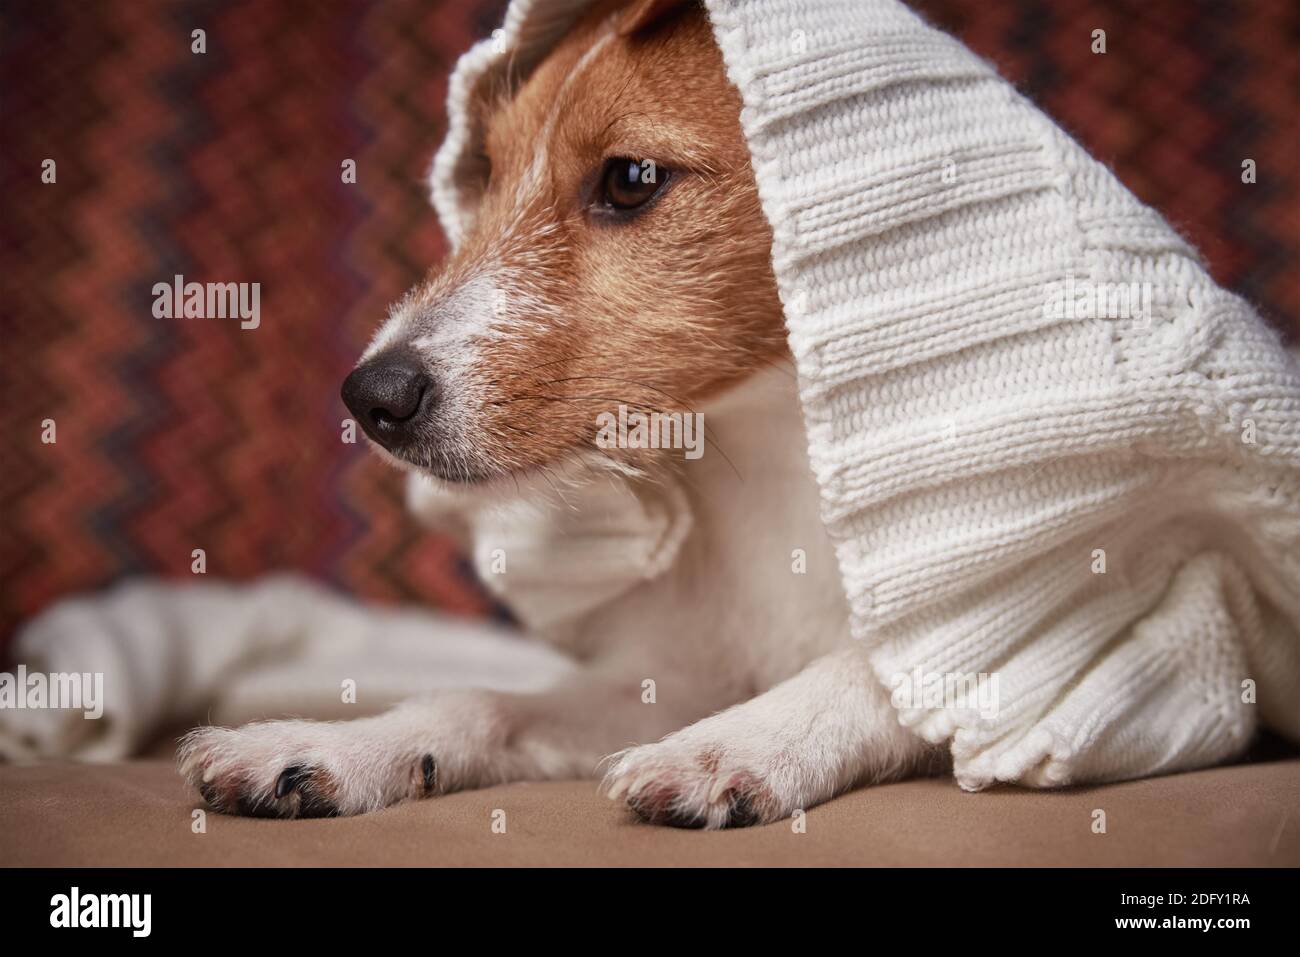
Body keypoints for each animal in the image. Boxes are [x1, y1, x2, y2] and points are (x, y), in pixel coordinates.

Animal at [178, 0, 941, 826]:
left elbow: (876, 671)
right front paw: (335, 745)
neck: (772, 451)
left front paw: (737, 741)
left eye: (633, 180)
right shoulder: (671, 678)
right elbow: (482, 701)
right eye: (486, 172)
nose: (370, 396)